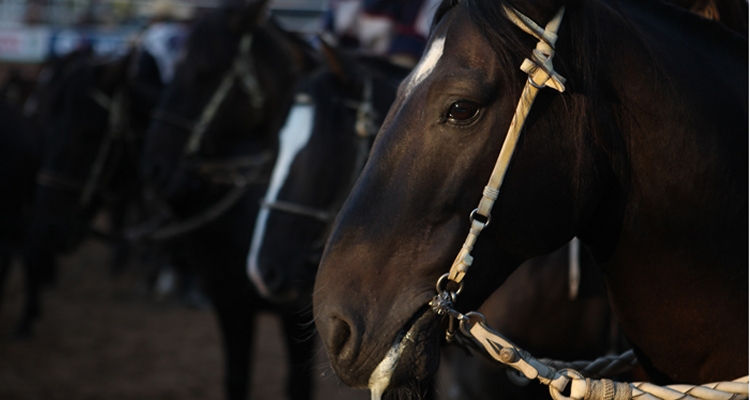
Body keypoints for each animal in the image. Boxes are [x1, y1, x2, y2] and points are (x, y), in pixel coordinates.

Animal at [141, 1, 320, 398]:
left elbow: (298, 385)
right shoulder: (229, 303)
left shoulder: (297, 316)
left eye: (204, 71)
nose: (154, 167)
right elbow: (236, 378)